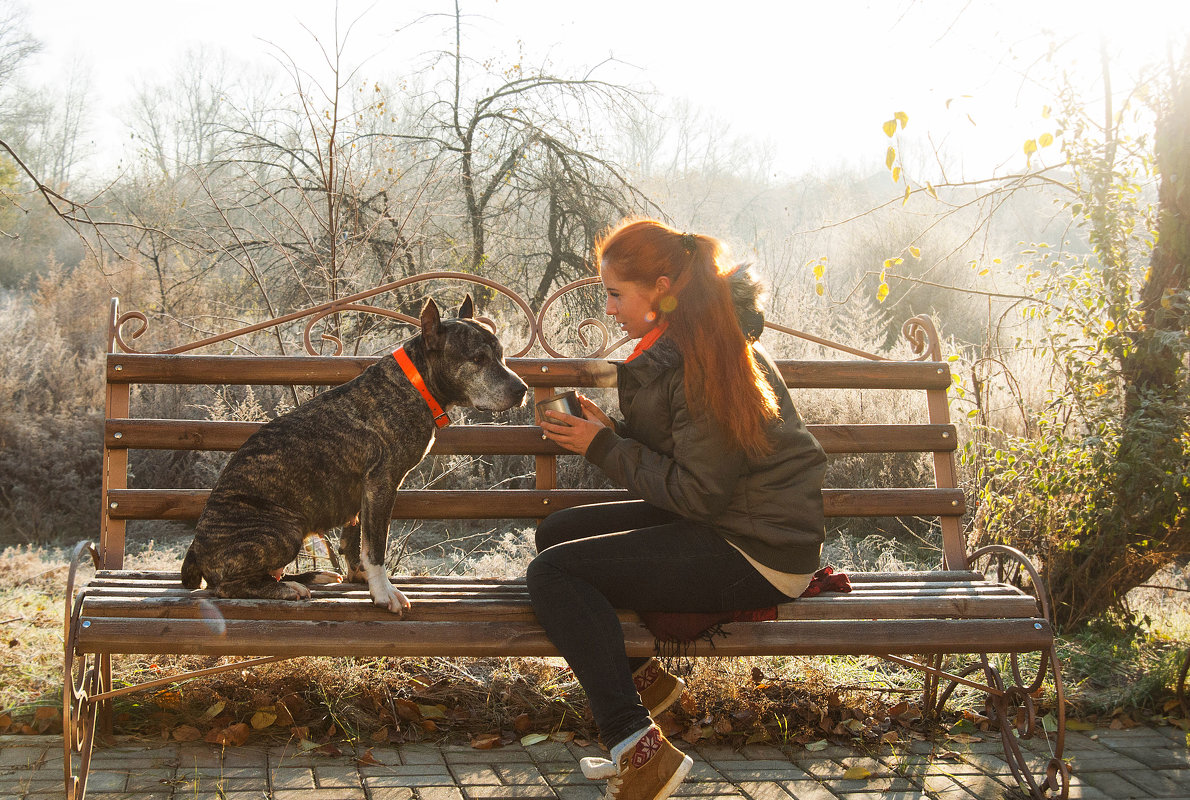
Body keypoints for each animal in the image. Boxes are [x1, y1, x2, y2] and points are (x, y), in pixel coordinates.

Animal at [179, 296, 525, 614]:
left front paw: (361, 577)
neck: (416, 384)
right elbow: (375, 546)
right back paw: (287, 589)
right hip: (284, 529)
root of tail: (196, 549)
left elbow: (354, 540)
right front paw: (384, 592)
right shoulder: (381, 485)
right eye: (478, 358)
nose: (521, 390)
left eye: (501, 355)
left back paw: (310, 578)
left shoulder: (361, 495)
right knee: (226, 586)